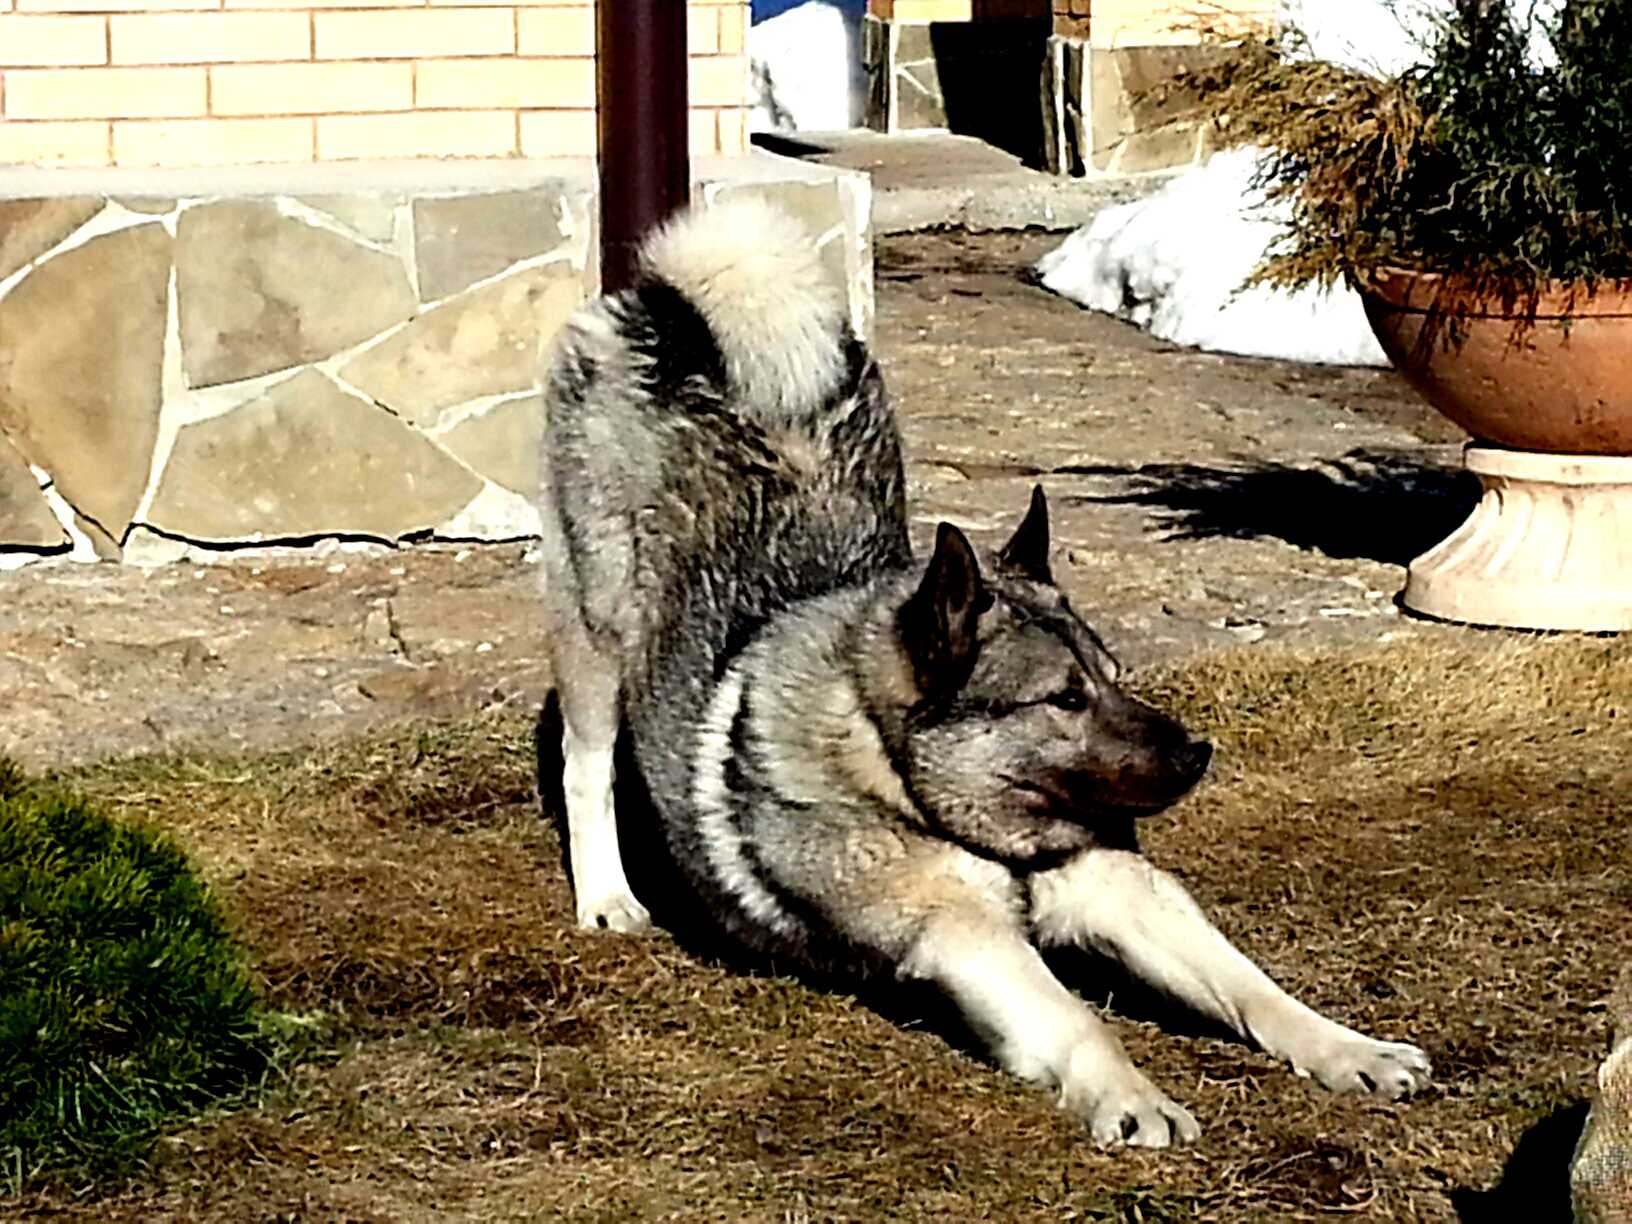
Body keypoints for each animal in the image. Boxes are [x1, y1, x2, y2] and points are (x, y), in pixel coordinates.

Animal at [535, 196, 1429, 1148]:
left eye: (1114, 675)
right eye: (1062, 697)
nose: (1198, 753)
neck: (898, 778)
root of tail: (665, 307)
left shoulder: (1129, 892)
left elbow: (1249, 985)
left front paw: (1348, 1049)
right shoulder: (962, 933)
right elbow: (1075, 1016)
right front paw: (1133, 1097)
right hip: (597, 626)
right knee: (585, 764)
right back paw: (608, 896)